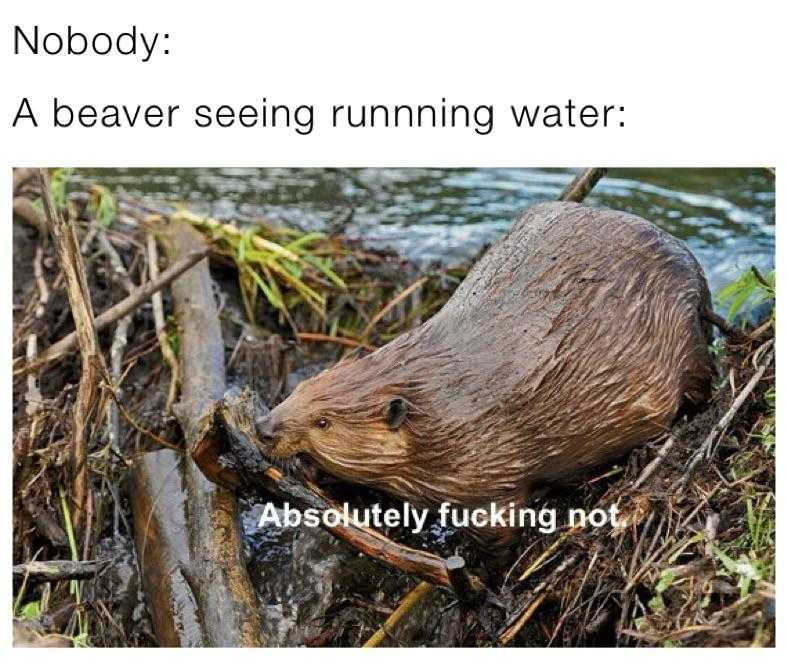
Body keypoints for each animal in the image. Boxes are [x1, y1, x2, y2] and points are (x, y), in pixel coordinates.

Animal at [255, 202, 716, 560]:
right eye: (298, 390)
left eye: (323, 422)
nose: (263, 428)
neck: (436, 398)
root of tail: (694, 269)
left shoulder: (491, 462)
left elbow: (497, 527)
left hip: (686, 345)